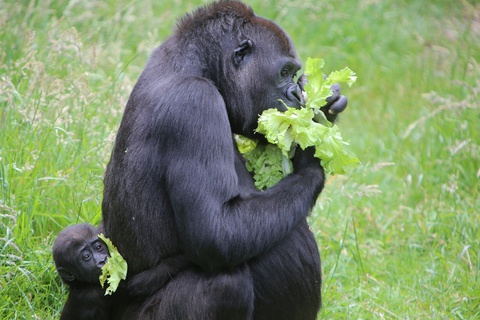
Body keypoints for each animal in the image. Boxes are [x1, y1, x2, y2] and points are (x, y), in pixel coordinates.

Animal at [52, 224, 188, 318]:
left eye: (98, 247)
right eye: (86, 257)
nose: (102, 260)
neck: (80, 284)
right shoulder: (96, 293)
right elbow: (137, 286)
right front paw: (183, 258)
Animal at [102, 1, 344, 318]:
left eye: (294, 74)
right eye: (284, 72)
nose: (295, 94)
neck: (196, 64)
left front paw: (326, 107)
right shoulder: (196, 103)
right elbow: (216, 233)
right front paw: (311, 154)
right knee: (228, 283)